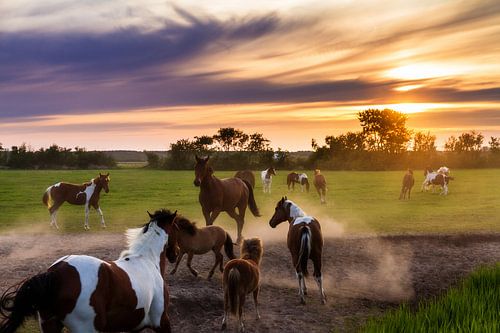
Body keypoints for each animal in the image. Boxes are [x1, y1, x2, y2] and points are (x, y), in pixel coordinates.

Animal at [0, 209, 179, 330]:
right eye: (177, 228)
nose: (176, 253)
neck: (146, 259)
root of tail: (55, 273)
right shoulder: (162, 321)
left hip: (50, 326)